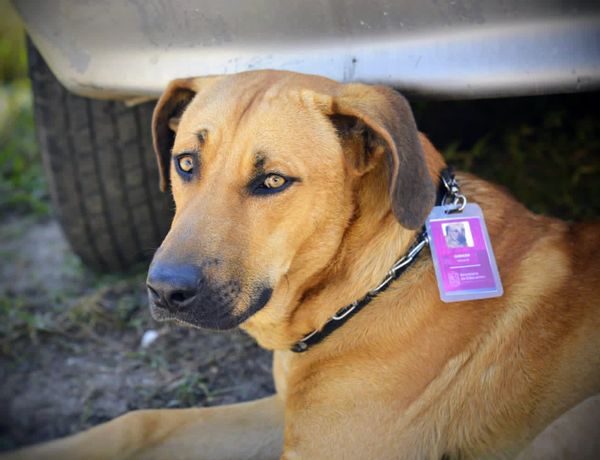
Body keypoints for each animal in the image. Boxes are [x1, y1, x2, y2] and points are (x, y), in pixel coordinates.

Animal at [5, 70, 600, 458]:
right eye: (186, 163)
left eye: (273, 181)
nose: (165, 292)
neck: (369, 287)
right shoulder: (288, 412)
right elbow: (139, 421)